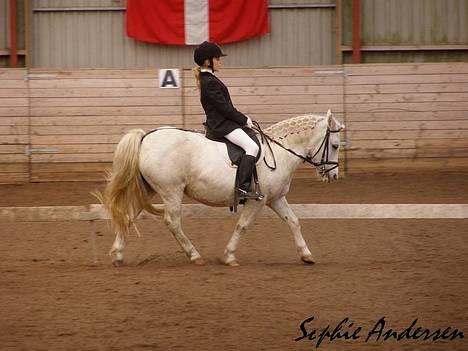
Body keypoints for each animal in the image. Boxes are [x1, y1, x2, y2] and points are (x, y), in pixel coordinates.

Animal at [98, 110, 344, 266]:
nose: (333, 175)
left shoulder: (275, 198)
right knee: (172, 222)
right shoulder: (258, 200)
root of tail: (146, 137)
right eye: (334, 145)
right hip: (171, 191)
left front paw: (306, 255)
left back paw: (118, 255)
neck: (280, 151)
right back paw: (194, 255)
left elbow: (293, 222)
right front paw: (229, 257)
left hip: (148, 190)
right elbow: (243, 226)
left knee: (129, 216)